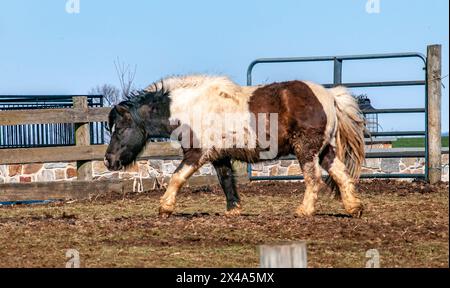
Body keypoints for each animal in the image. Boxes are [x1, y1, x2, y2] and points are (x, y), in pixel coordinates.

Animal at [105, 75, 366, 217]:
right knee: (341, 175)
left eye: (119, 129)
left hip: (307, 150)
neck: (189, 107)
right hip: (325, 151)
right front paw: (234, 210)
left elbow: (177, 178)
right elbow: (226, 181)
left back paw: (304, 211)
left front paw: (165, 208)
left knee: (314, 179)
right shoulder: (219, 156)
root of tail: (330, 96)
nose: (109, 160)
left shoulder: (196, 154)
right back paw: (354, 208)